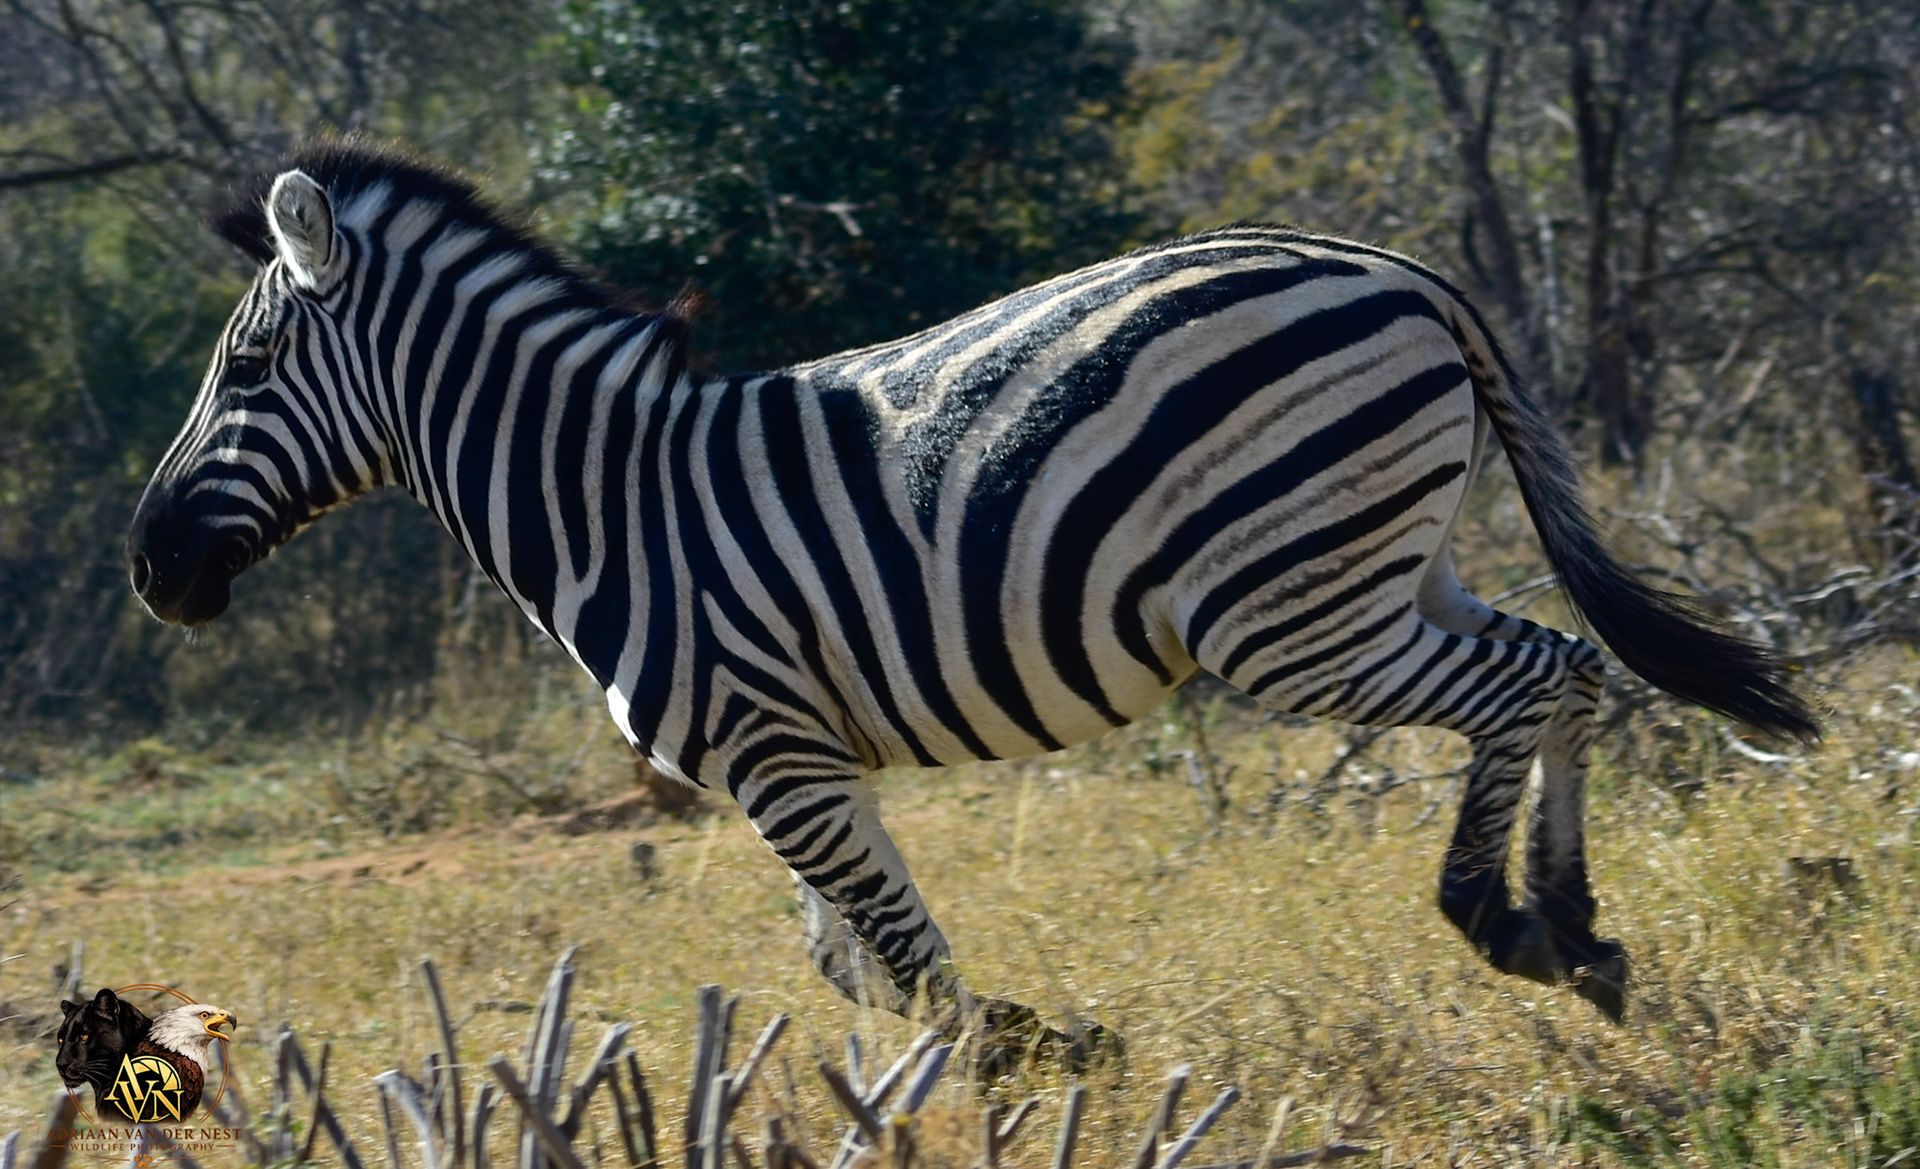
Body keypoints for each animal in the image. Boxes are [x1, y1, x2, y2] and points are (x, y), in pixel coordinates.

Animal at [127, 142, 1815, 1058]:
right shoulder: (800, 762)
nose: (150, 572)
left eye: (247, 371)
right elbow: (855, 965)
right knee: (1565, 661)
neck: (600, 494)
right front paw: (988, 1060)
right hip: (1386, 564)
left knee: (1522, 683)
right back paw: (1579, 927)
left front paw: (1037, 1051)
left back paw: (1503, 918)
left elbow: (908, 962)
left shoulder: (772, 752)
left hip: (1288, 615)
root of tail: (1400, 269)